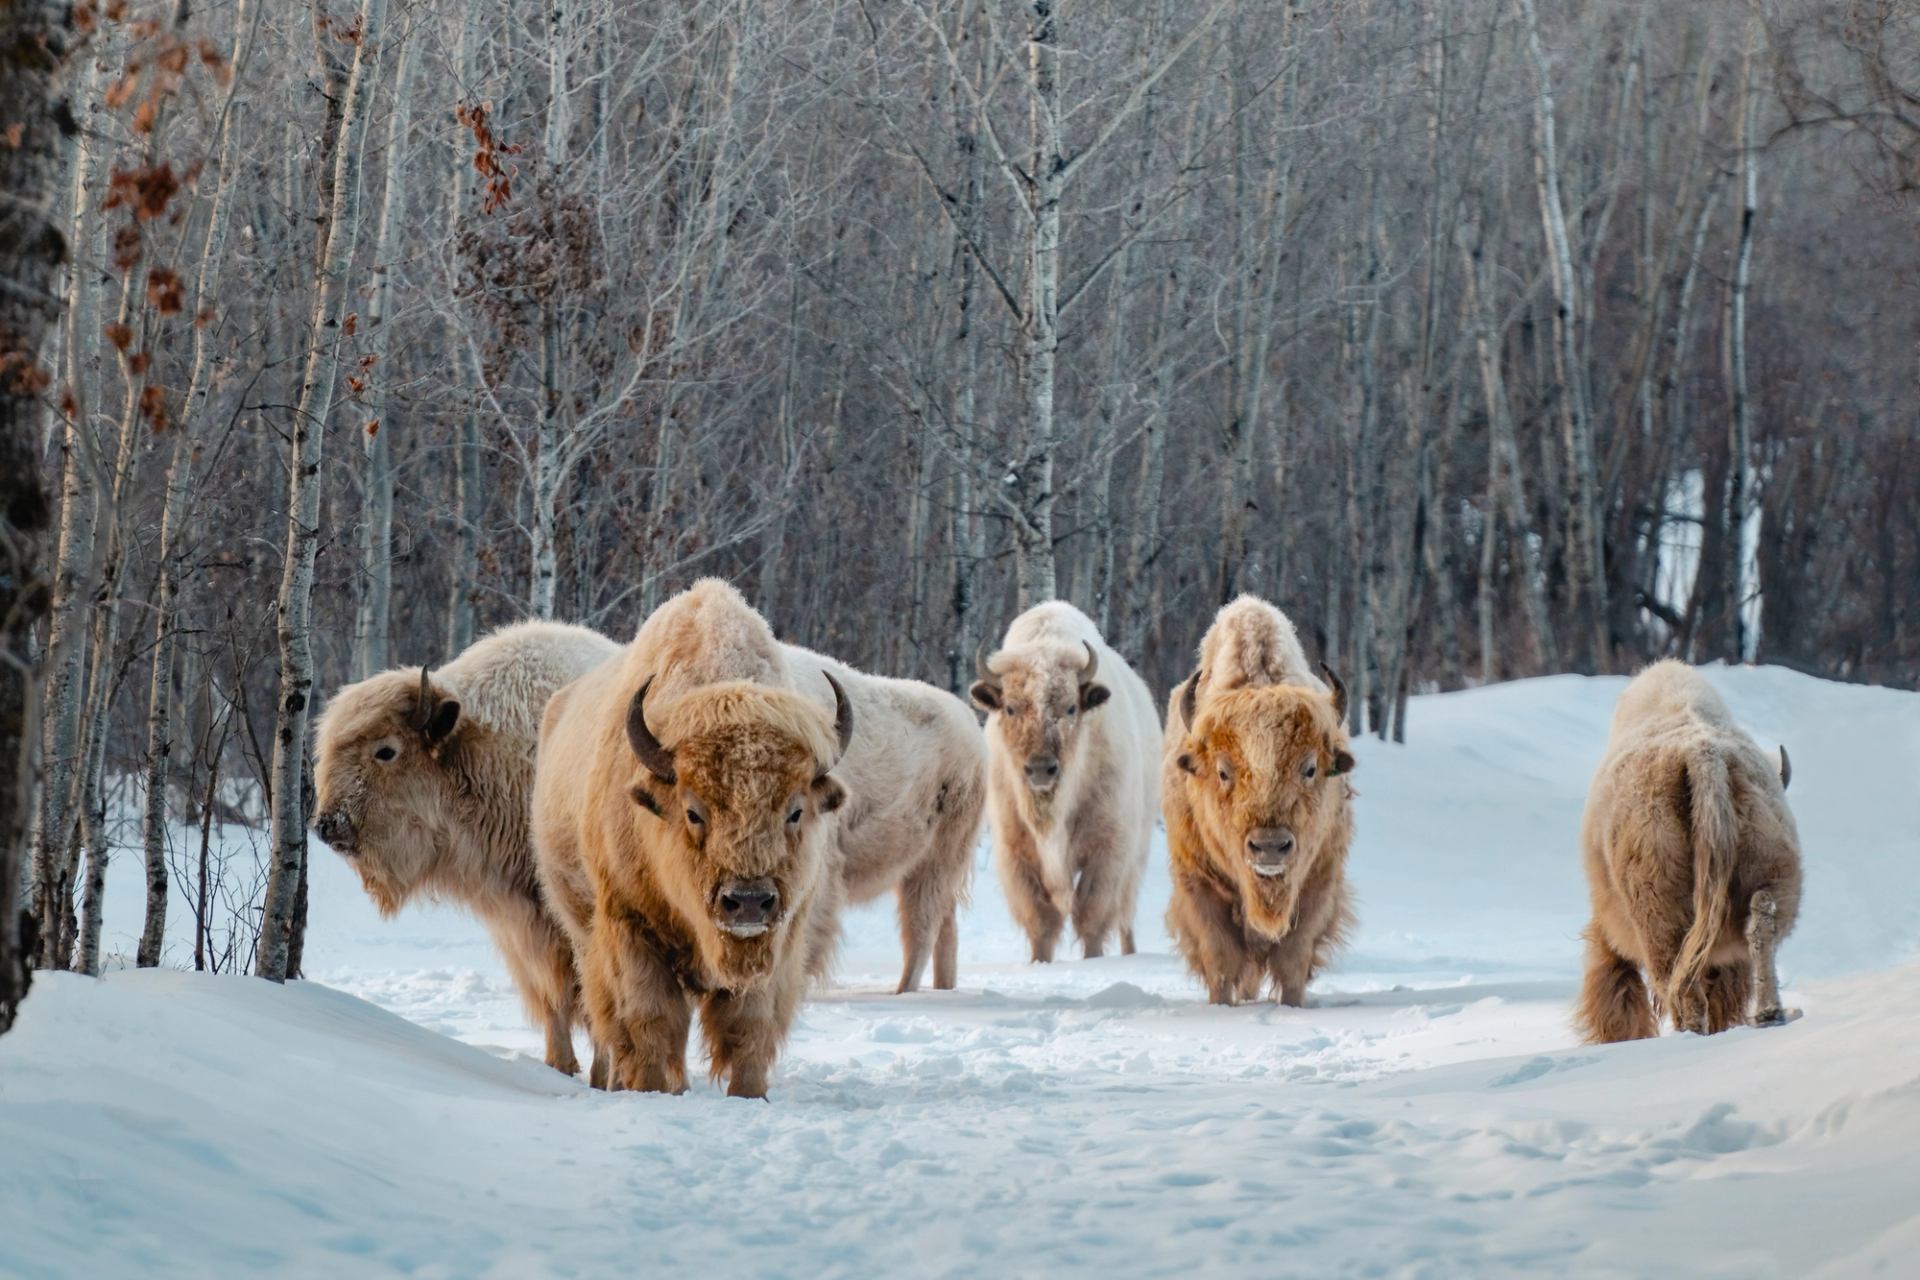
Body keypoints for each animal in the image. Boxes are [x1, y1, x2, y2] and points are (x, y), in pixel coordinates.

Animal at [311, 617, 614, 1074]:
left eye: (386, 751)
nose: (328, 825)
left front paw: (600, 1073)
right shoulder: (520, 923)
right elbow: (553, 1001)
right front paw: (560, 1065)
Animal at [1152, 594, 1351, 1005]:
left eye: (1310, 768)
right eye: (1223, 771)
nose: (1269, 847)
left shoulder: (1319, 883)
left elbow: (1293, 959)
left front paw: (1292, 1005)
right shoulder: (1198, 885)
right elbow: (1220, 957)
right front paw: (1221, 1004)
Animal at [1574, 660, 1797, 1043]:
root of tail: (1704, 756)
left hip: (1658, 911)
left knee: (1681, 985)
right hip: (1771, 870)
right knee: (1761, 926)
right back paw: (1770, 1013)